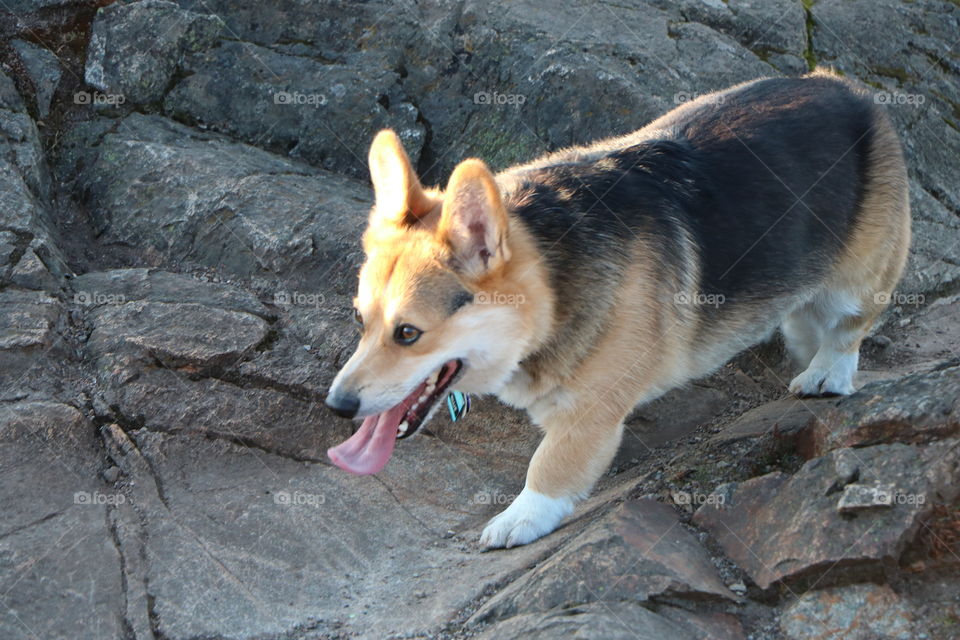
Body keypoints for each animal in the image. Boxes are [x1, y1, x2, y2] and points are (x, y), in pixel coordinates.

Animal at [322, 71, 908, 552]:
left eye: (408, 333)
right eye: (361, 321)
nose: (337, 406)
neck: (553, 285)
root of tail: (842, 86)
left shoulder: (591, 413)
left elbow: (550, 467)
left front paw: (518, 519)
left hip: (857, 282)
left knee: (846, 330)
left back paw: (826, 375)